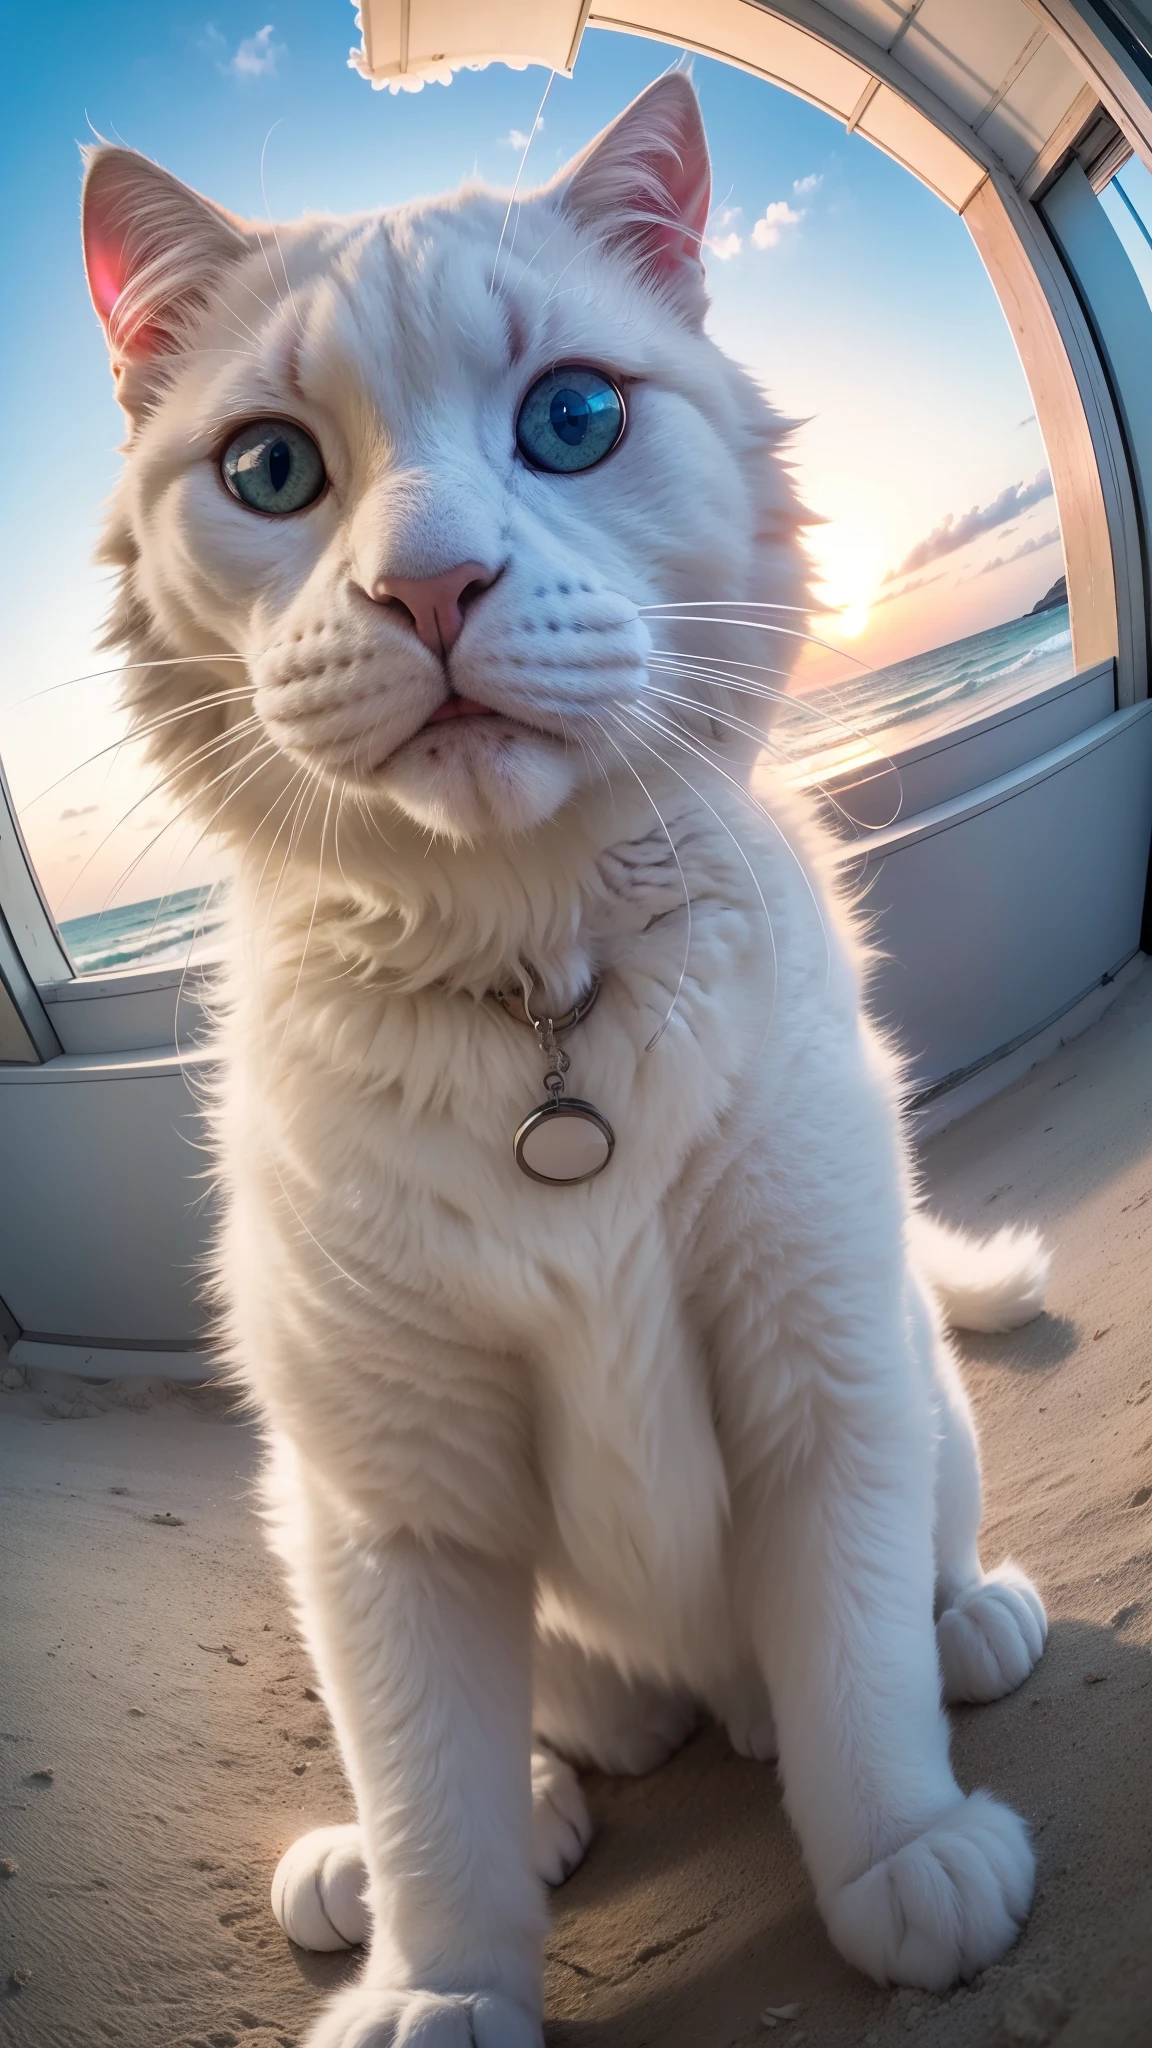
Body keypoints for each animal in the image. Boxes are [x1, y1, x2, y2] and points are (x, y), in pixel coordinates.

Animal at [85, 79, 1045, 2048]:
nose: (431, 584)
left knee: (891, 1597)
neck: (542, 986)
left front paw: (901, 1849)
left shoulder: (822, 1370)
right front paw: (441, 1977)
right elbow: (423, 1773)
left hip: (914, 1390)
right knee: (495, 1751)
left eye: (574, 420)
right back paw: (414, 1849)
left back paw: (968, 1623)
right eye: (270, 471)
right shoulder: (385, 1501)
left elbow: (850, 1671)